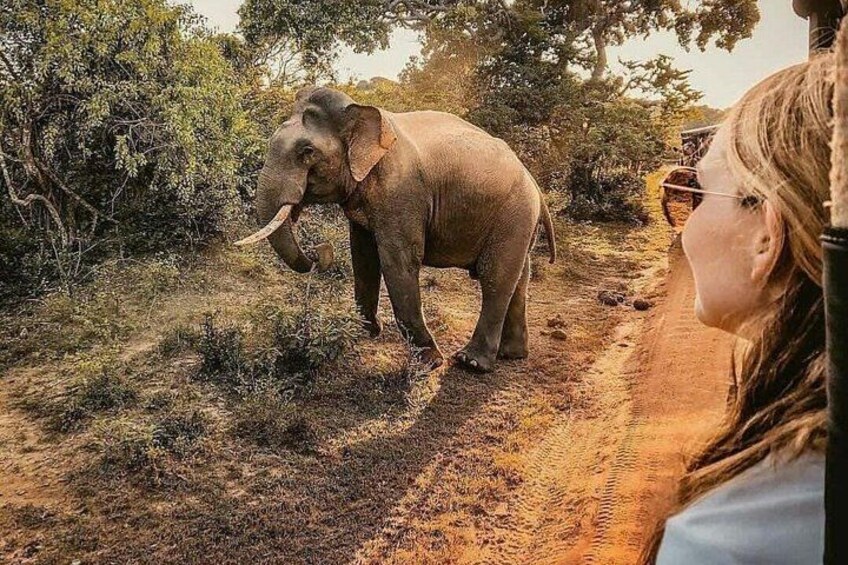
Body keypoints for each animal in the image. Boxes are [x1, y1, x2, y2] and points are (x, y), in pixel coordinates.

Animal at [236, 87, 556, 373]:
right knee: (520, 278)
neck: (361, 112)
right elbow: (363, 256)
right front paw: (363, 331)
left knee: (495, 277)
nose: (318, 252)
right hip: (519, 221)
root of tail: (534, 183)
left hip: (513, 214)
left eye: (307, 152)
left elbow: (398, 262)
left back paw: (471, 363)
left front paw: (430, 362)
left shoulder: (402, 194)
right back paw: (512, 355)